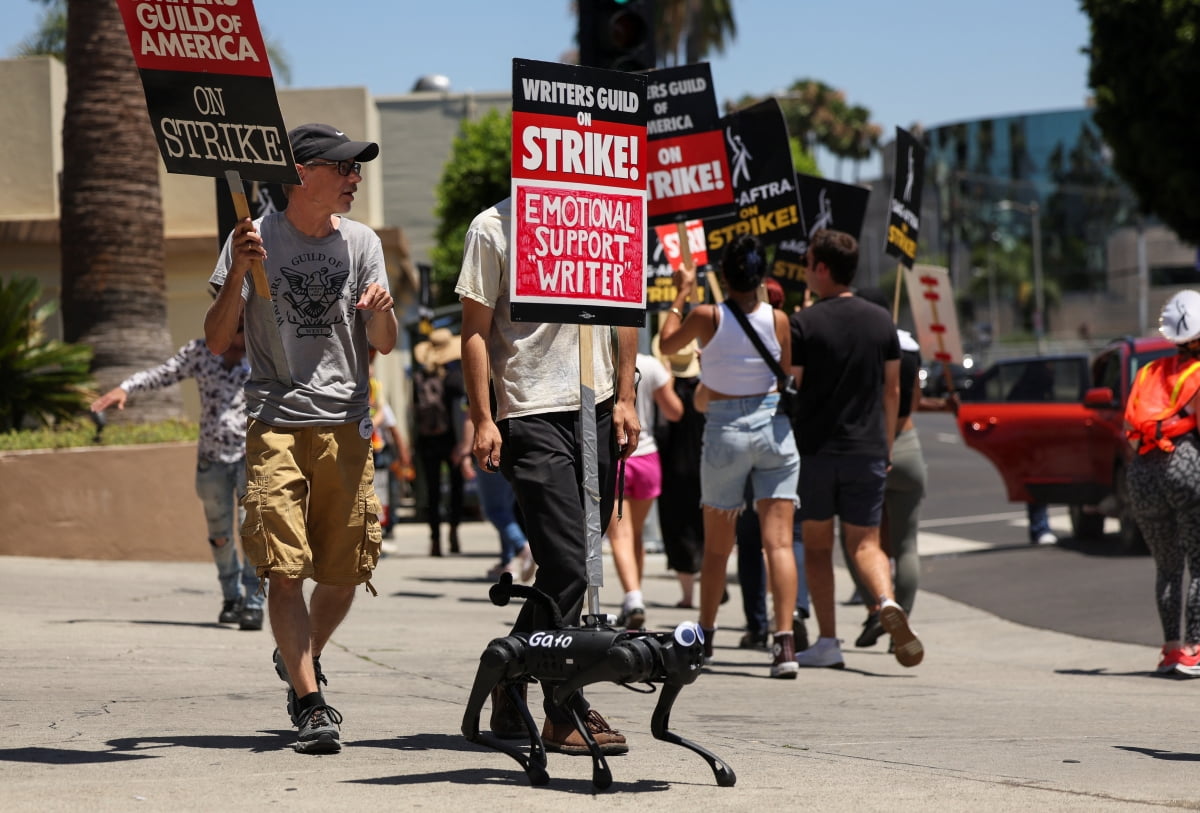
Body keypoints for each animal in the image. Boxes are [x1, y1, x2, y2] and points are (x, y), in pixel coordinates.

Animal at [460, 573, 734, 791]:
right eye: (687, 640)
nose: (698, 655)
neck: (649, 648)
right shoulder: (583, 677)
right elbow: (562, 699)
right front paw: (601, 773)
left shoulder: (671, 682)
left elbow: (659, 728)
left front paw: (721, 770)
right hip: (501, 656)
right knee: (470, 725)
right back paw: (533, 767)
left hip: (519, 669)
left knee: (509, 690)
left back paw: (537, 757)